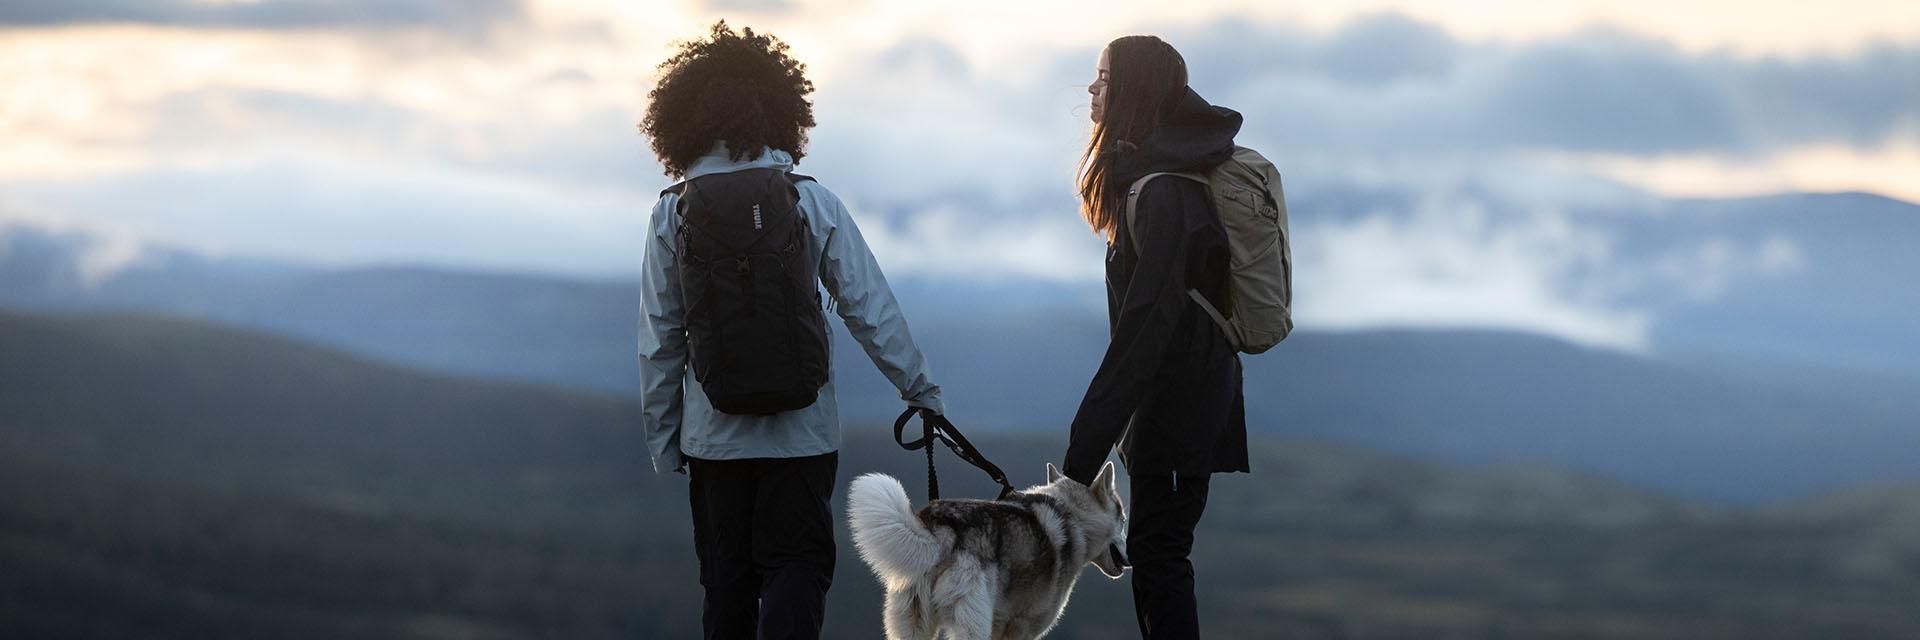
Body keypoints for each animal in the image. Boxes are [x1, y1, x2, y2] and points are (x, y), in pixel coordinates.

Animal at [844, 461, 1121, 634]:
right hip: (971, 624)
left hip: (913, 625)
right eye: (1123, 516)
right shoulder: (1022, 628)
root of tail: (939, 528)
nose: (1128, 559)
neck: (1073, 517)